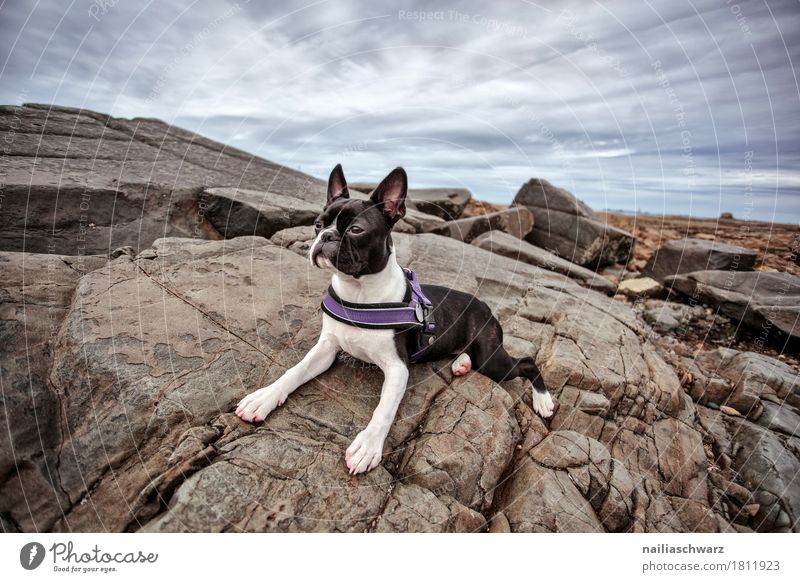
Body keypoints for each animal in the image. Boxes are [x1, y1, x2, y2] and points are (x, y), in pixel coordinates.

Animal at [234, 167, 552, 476]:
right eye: (317, 224)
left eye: (356, 230)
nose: (325, 237)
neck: (358, 292)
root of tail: (485, 305)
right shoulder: (325, 349)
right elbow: (294, 371)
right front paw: (263, 397)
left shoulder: (398, 368)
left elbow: (384, 408)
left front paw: (367, 445)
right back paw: (461, 363)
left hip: (491, 359)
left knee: (526, 363)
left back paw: (543, 399)